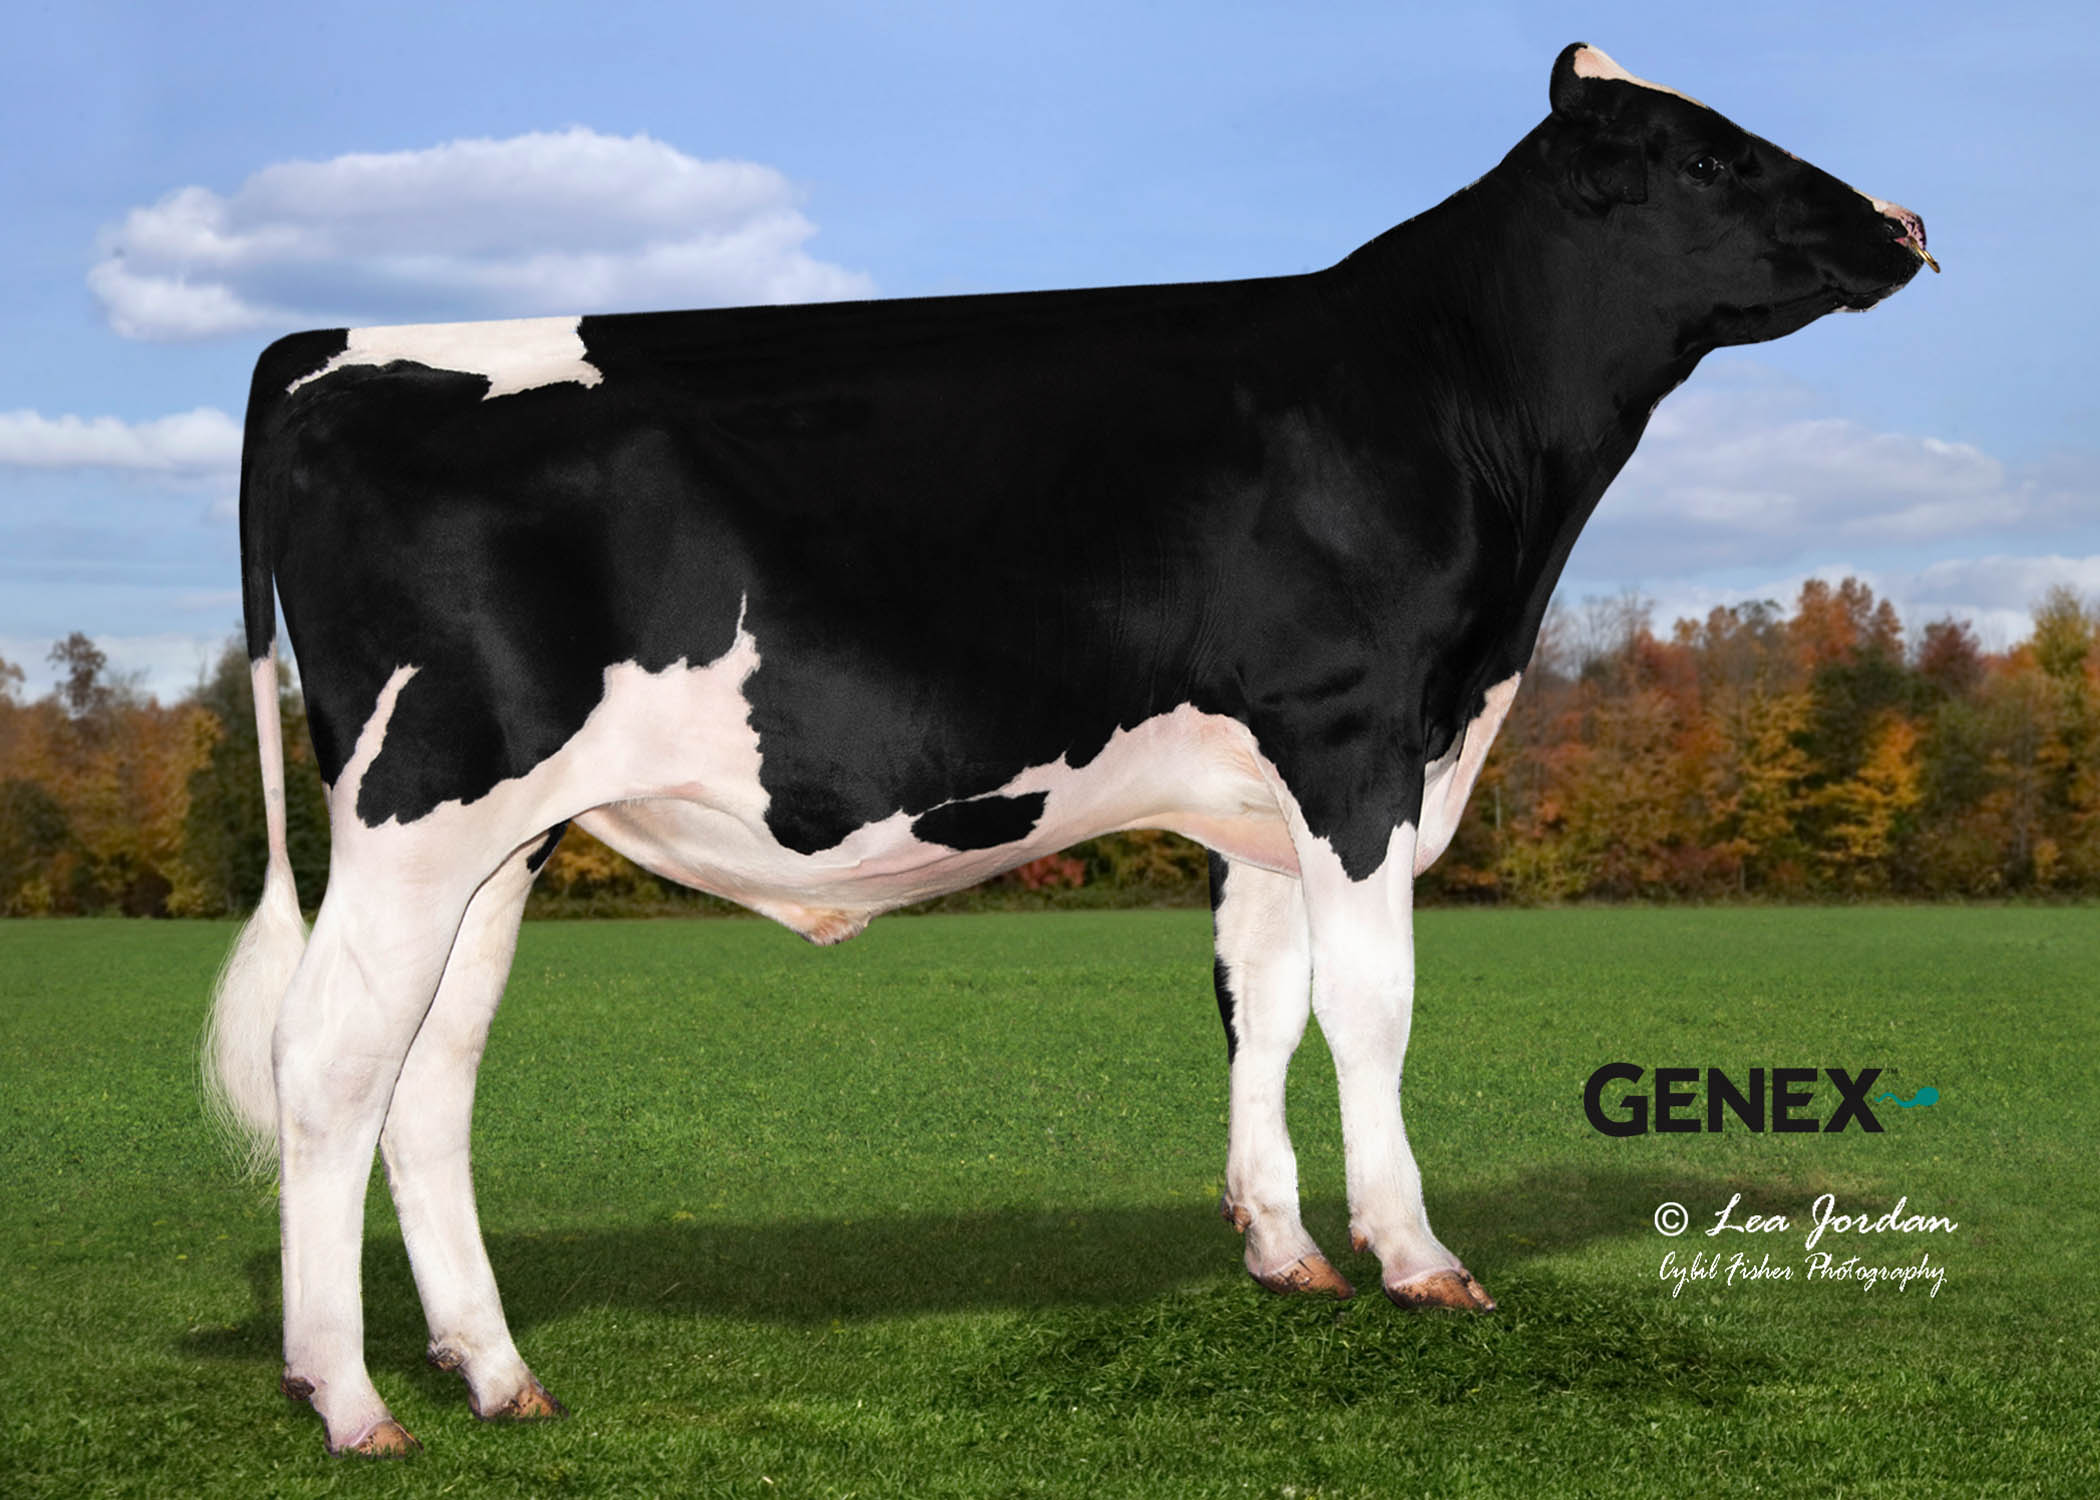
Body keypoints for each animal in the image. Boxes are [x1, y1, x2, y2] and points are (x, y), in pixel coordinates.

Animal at [205, 43, 1931, 1454]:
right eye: (1710, 156)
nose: (1908, 223)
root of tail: (328, 347)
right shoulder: (1356, 734)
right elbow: (1370, 1009)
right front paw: (1419, 1258)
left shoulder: (1263, 793)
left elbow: (1262, 1006)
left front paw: (1286, 1252)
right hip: (420, 799)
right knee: (330, 1059)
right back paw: (348, 1397)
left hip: (499, 841)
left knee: (429, 1076)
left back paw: (493, 1373)